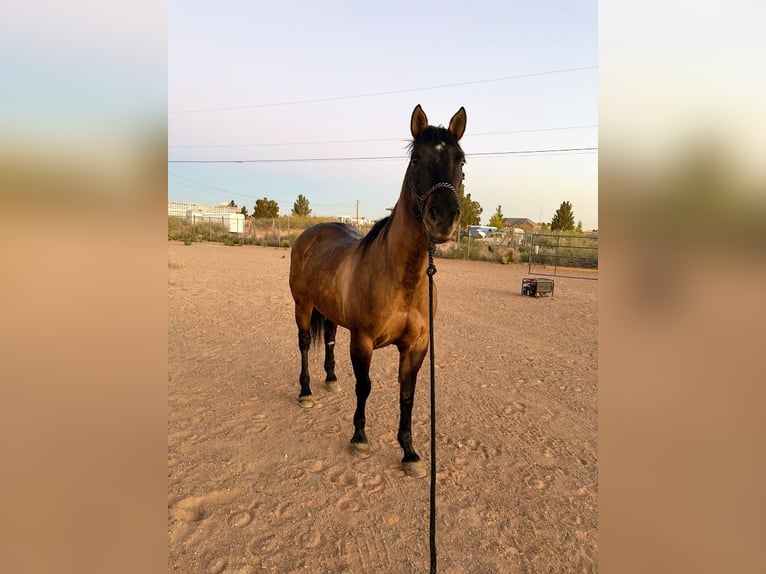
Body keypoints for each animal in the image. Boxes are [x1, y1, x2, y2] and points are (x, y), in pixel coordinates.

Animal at [288, 105, 466, 478]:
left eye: (461, 160)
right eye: (416, 158)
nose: (443, 217)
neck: (403, 279)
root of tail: (310, 233)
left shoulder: (417, 346)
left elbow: (407, 394)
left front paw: (410, 453)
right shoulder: (364, 340)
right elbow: (365, 386)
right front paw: (359, 439)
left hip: (329, 311)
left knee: (328, 338)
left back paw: (330, 379)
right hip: (303, 306)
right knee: (303, 344)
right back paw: (307, 391)